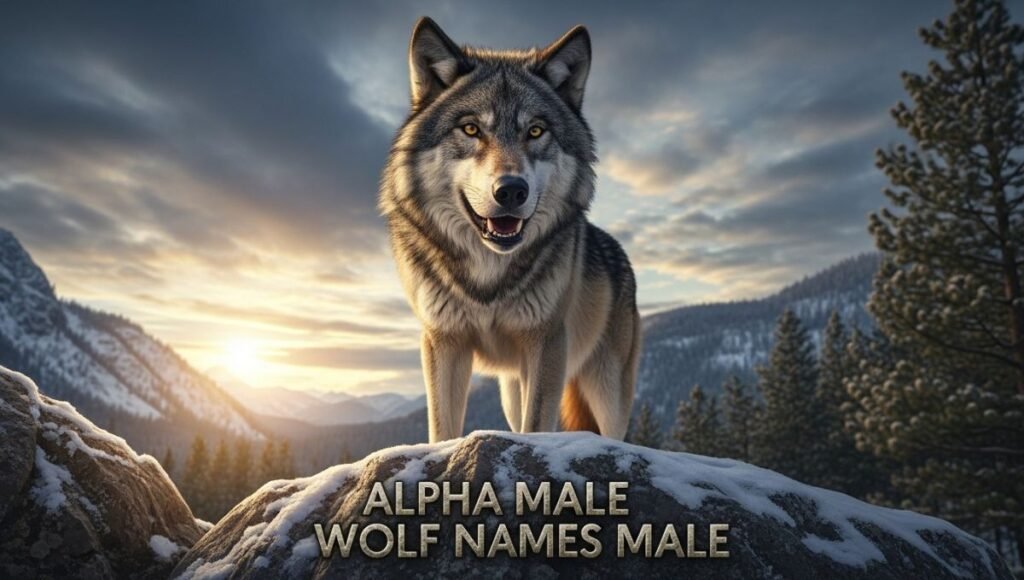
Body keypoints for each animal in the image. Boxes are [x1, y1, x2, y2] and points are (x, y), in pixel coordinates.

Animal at [379, 18, 640, 443]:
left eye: (535, 131)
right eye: (470, 129)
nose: (512, 190)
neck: (489, 273)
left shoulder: (547, 342)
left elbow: (538, 426)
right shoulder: (443, 341)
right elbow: (443, 430)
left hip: (607, 389)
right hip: (512, 388)